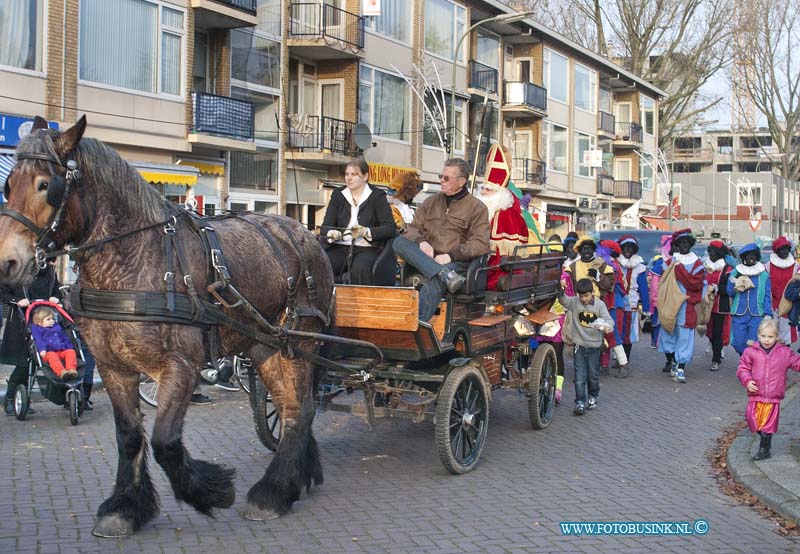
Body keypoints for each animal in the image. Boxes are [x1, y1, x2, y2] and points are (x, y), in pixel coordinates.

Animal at [0, 116, 332, 536]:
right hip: (266, 347)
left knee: (299, 410)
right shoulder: (114, 367)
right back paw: (293, 480)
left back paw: (273, 492)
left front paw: (213, 490)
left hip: (298, 344)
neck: (134, 262)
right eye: (8, 185)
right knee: (294, 408)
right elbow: (129, 437)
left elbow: (164, 441)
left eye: (46, 185)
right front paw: (125, 508)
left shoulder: (181, 366)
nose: (7, 263)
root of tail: (306, 234)